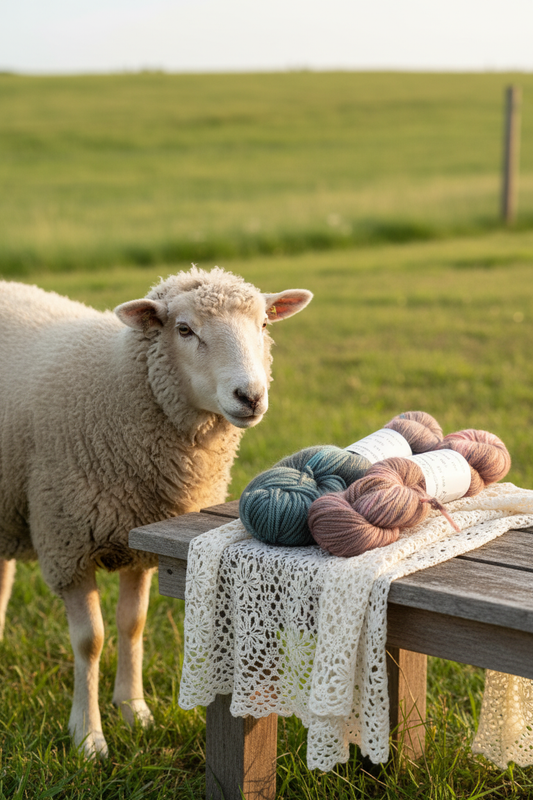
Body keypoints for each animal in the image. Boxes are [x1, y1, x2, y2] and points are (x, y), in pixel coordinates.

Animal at [0, 266, 312, 757]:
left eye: (264, 324)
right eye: (184, 330)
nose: (250, 396)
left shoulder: (141, 537)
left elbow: (133, 626)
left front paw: (134, 712)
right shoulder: (66, 542)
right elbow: (90, 641)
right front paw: (88, 736)